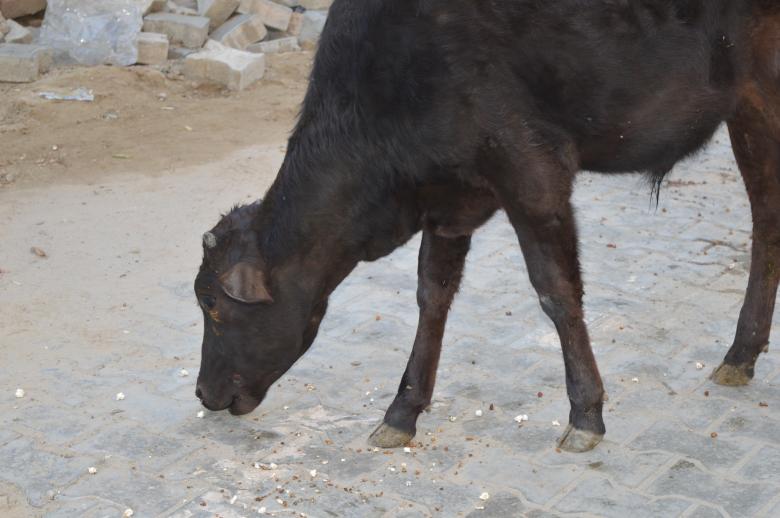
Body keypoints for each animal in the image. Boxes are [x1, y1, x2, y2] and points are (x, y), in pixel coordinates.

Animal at [193, 0, 780, 452]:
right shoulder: (450, 200)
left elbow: (556, 292)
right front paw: (402, 411)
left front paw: (585, 415)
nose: (202, 392)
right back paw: (742, 354)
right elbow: (432, 294)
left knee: (765, 219)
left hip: (762, 99)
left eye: (214, 304)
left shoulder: (531, 173)